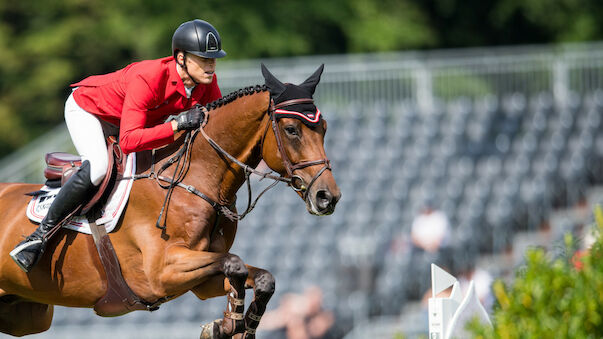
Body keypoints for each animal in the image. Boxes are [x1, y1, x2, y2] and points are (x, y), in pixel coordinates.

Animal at [0, 64, 340, 339]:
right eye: (292, 129)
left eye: (324, 128)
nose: (328, 197)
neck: (195, 178)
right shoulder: (162, 274)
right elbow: (235, 264)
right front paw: (228, 324)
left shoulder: (200, 280)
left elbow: (258, 277)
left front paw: (232, 325)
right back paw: (30, 247)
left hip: (25, 315)